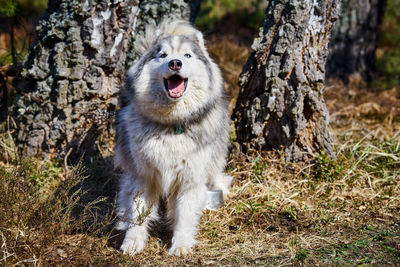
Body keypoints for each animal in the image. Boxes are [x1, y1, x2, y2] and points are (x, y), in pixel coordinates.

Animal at [114, 19, 231, 256]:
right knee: (125, 191)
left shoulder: (190, 179)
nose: (175, 63)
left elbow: (184, 216)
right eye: (163, 55)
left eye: (187, 55)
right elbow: (138, 211)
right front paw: (133, 241)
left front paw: (181, 245)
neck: (171, 125)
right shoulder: (144, 175)